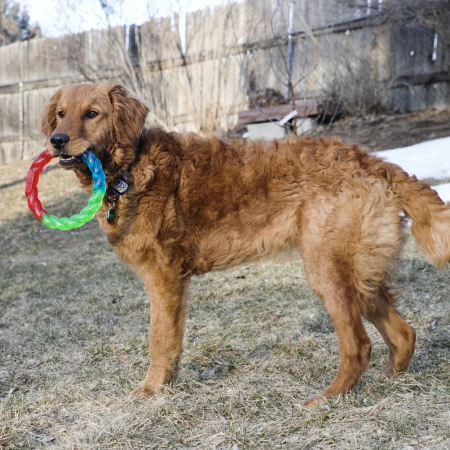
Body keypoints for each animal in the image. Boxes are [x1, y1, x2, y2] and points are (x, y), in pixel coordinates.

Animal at [41, 83, 450, 407]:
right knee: (403, 333)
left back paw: (328, 398)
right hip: (361, 273)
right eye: (60, 115)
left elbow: (159, 340)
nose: (56, 140)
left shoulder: (164, 279)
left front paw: (150, 390)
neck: (129, 171)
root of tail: (372, 161)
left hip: (327, 271)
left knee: (358, 345)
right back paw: (388, 381)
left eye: (92, 114)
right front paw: (166, 386)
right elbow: (172, 342)